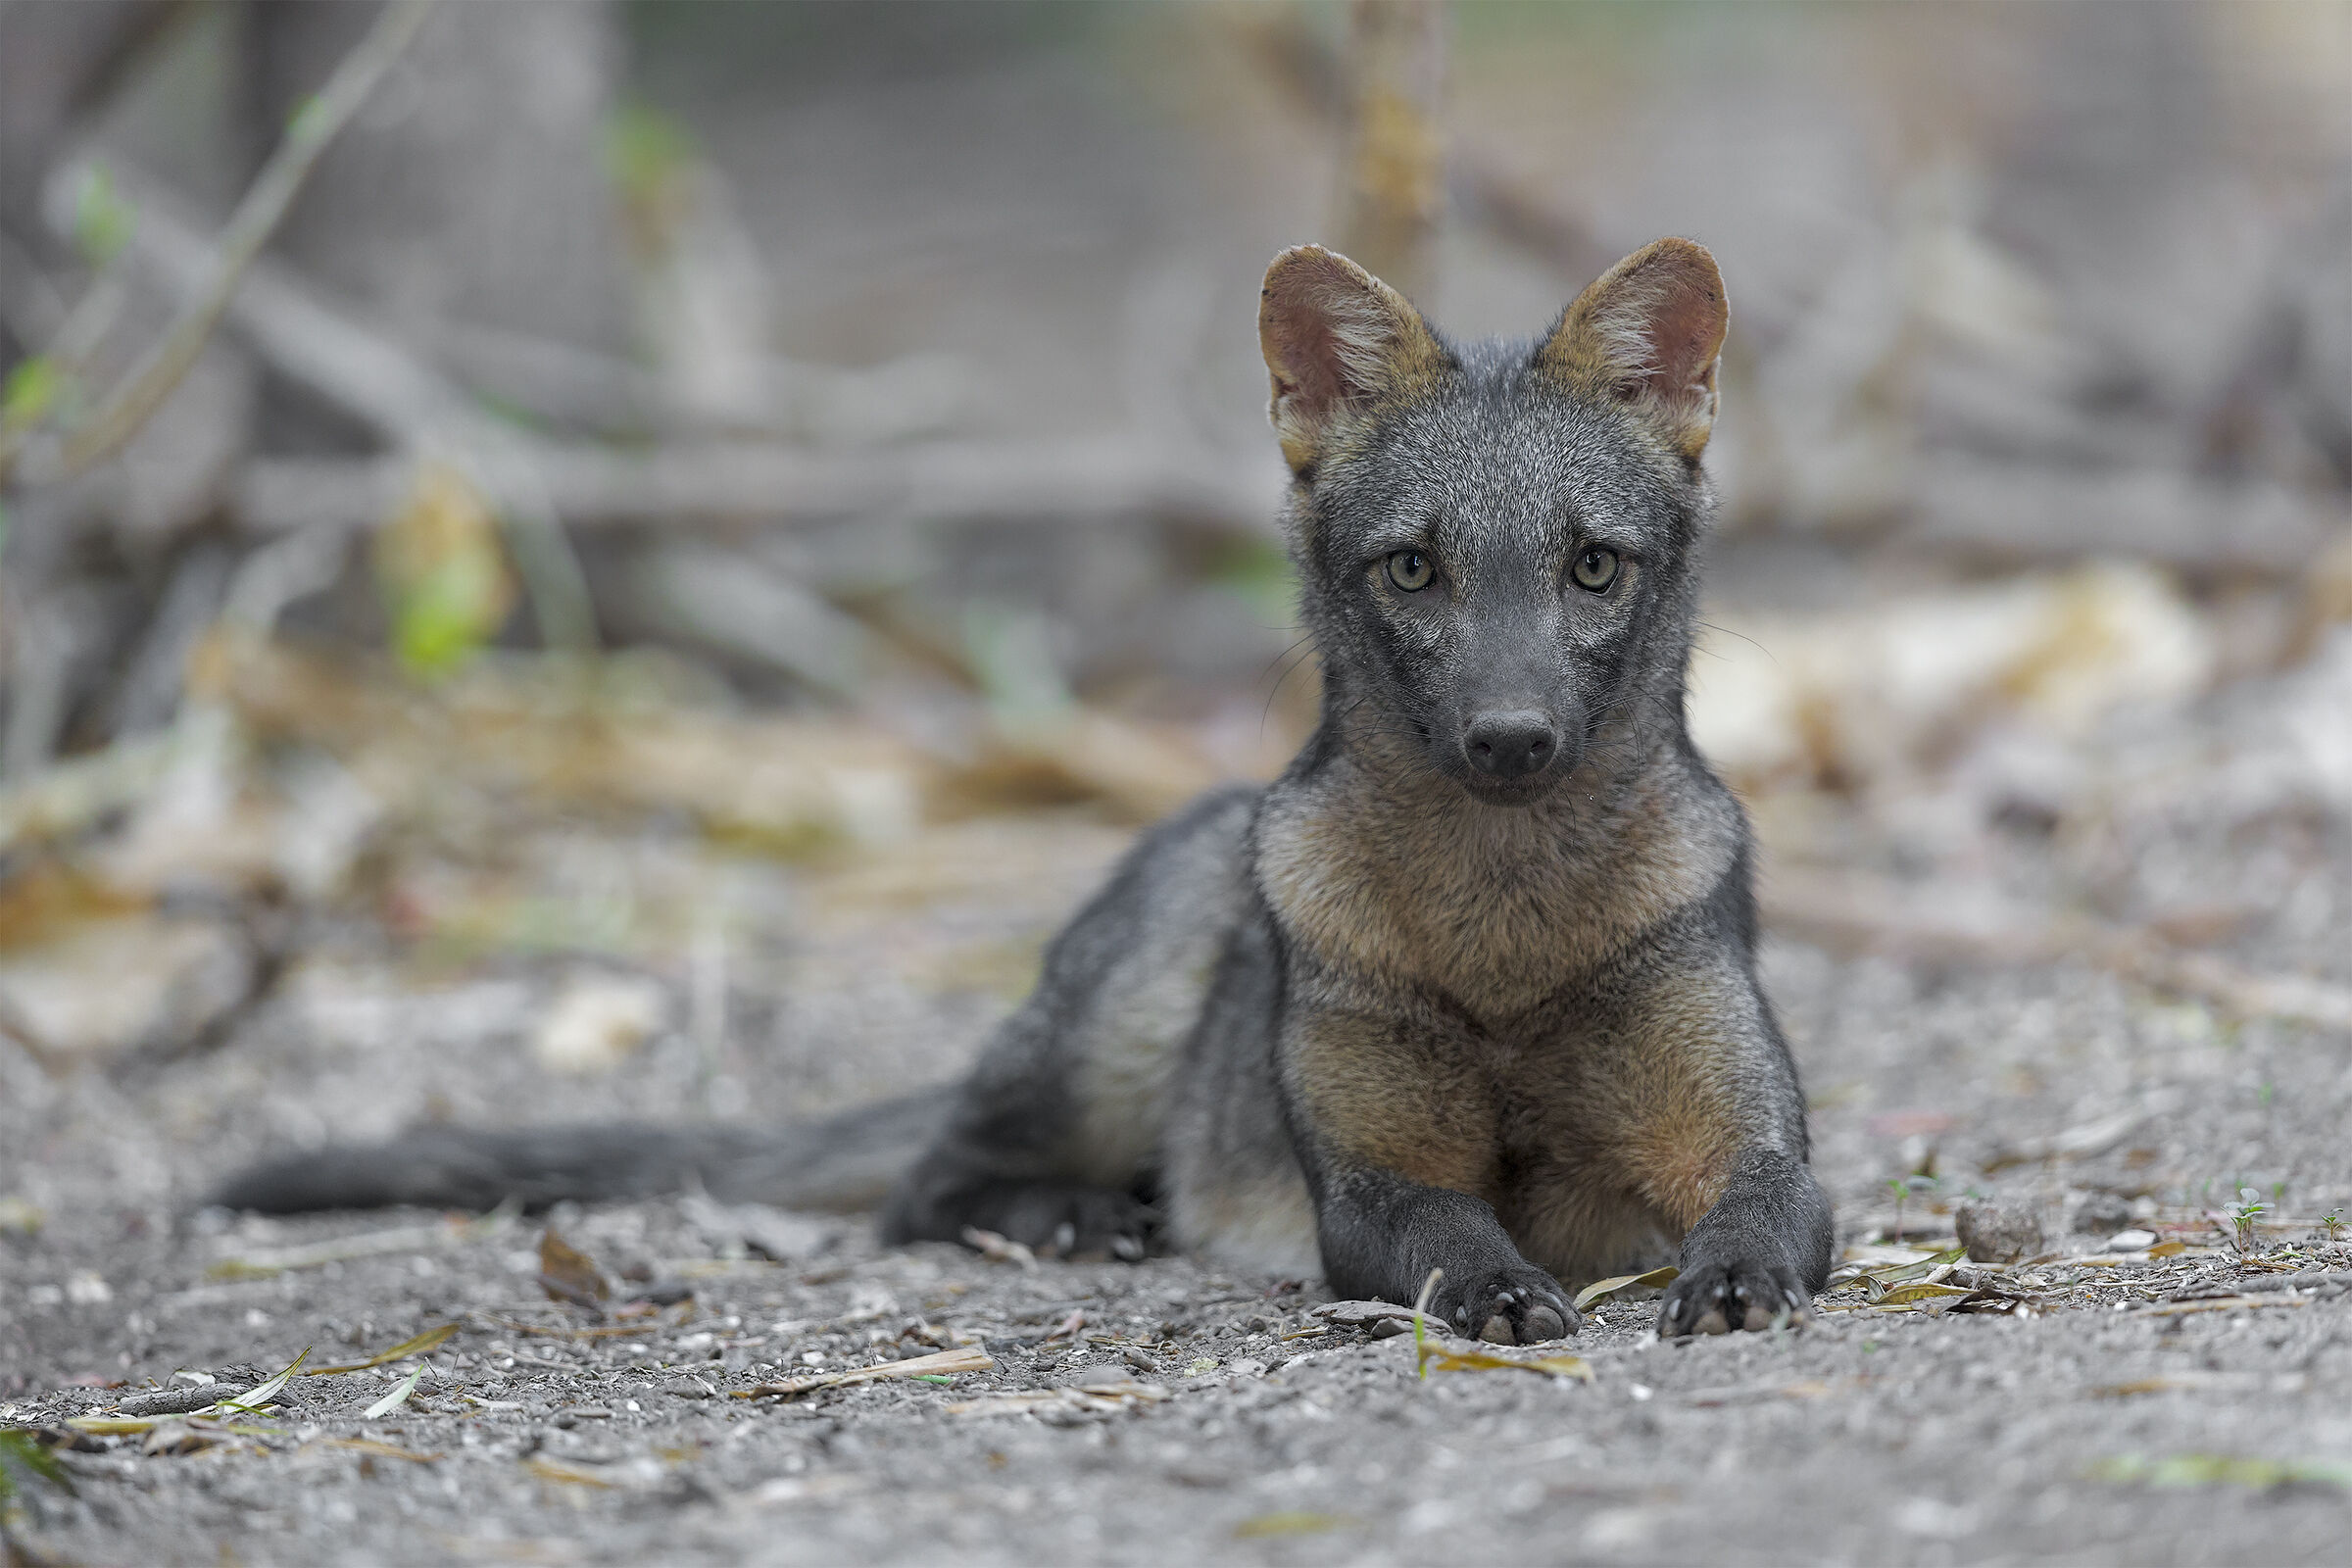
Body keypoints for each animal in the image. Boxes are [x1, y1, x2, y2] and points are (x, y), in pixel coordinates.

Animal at [216, 237, 1836, 1343]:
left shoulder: (1744, 1122)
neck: (1506, 942)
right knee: (922, 1183)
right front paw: (1507, 1296)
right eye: (1414, 568)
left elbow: (1777, 1202)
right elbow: (1447, 1237)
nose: (1510, 737)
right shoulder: (1364, 1178)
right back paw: (1073, 1217)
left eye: (1593, 565)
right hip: (1103, 1041)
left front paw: (1736, 1276)